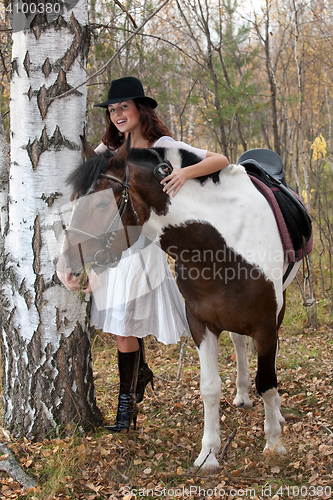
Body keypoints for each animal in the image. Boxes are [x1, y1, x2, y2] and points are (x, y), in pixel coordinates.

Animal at [57, 136, 300, 468]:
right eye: (73, 199)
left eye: (103, 203)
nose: (65, 269)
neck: (220, 249)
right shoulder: (201, 323)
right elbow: (209, 387)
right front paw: (208, 453)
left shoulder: (264, 323)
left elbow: (268, 381)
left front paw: (274, 441)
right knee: (239, 342)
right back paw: (242, 394)